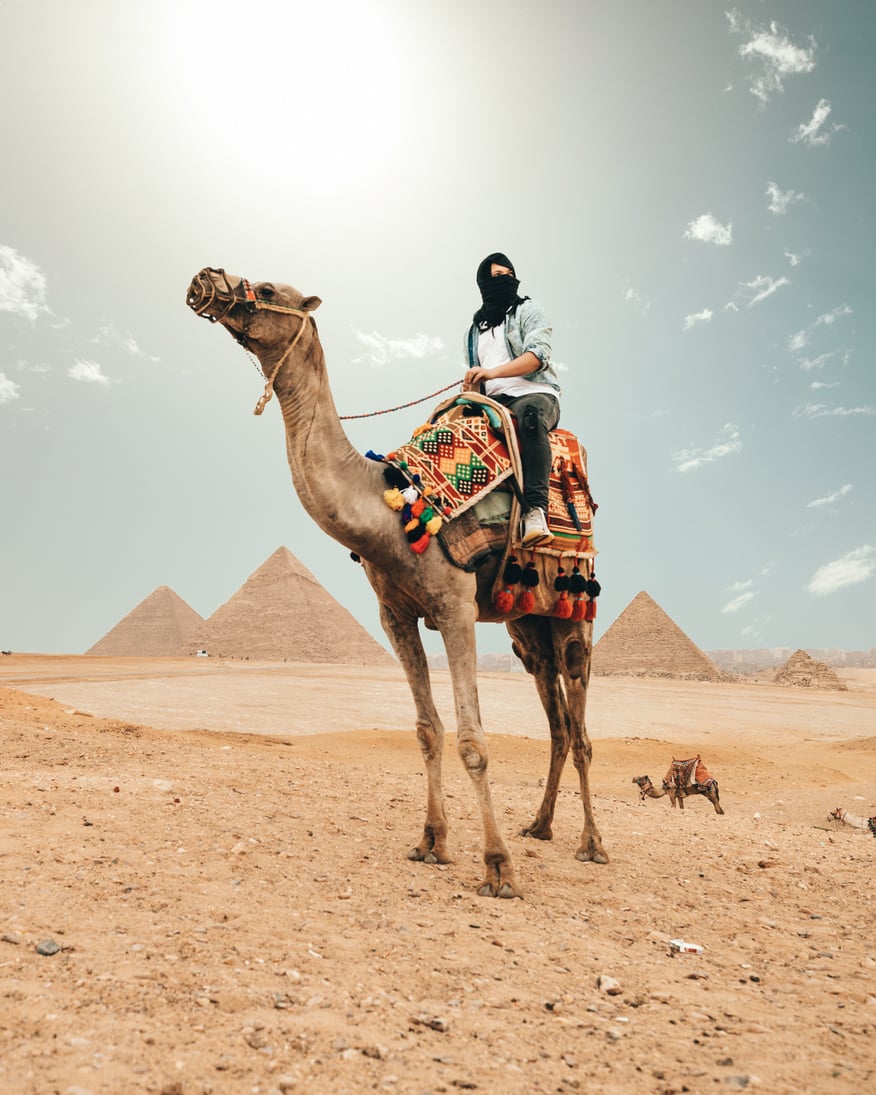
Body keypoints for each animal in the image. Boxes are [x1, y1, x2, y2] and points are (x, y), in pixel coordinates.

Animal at [187, 267, 604, 897]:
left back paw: (591, 843)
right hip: (526, 626)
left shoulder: (455, 608)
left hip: (572, 614)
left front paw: (498, 868)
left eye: (267, 288)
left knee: (579, 732)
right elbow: (428, 730)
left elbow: (472, 741)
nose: (205, 278)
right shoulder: (396, 615)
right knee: (556, 726)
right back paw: (540, 826)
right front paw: (432, 843)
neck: (386, 509)